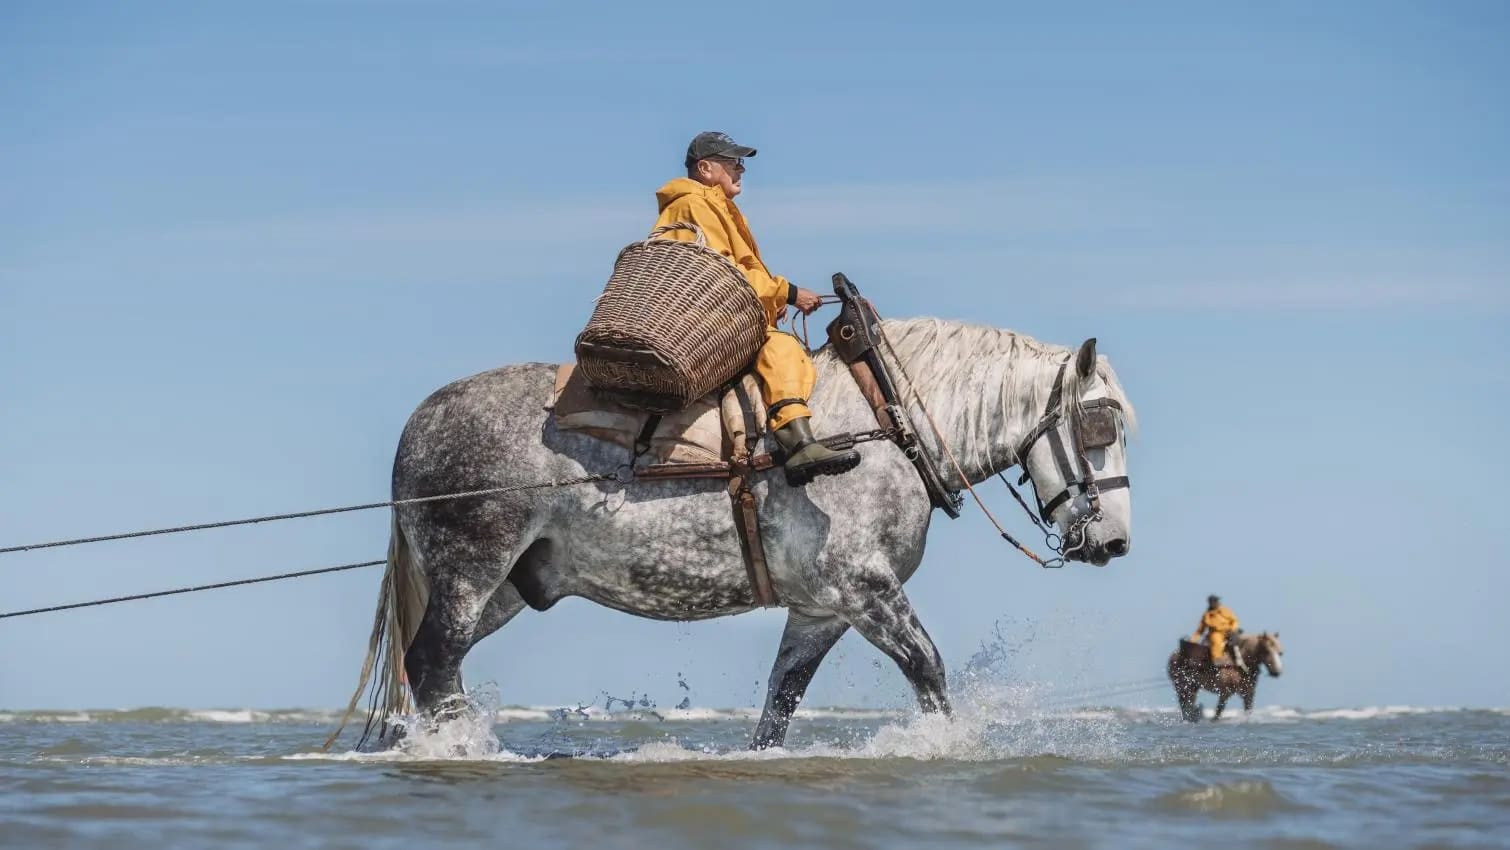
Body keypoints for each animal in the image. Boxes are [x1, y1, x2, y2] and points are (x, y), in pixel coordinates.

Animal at [332, 317, 1137, 750]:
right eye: (1100, 423)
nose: (1116, 543)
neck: (884, 426)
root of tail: (422, 419)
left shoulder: (820, 610)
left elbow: (780, 701)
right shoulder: (866, 590)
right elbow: (930, 671)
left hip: (502, 587)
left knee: (436, 666)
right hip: (471, 569)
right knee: (433, 660)